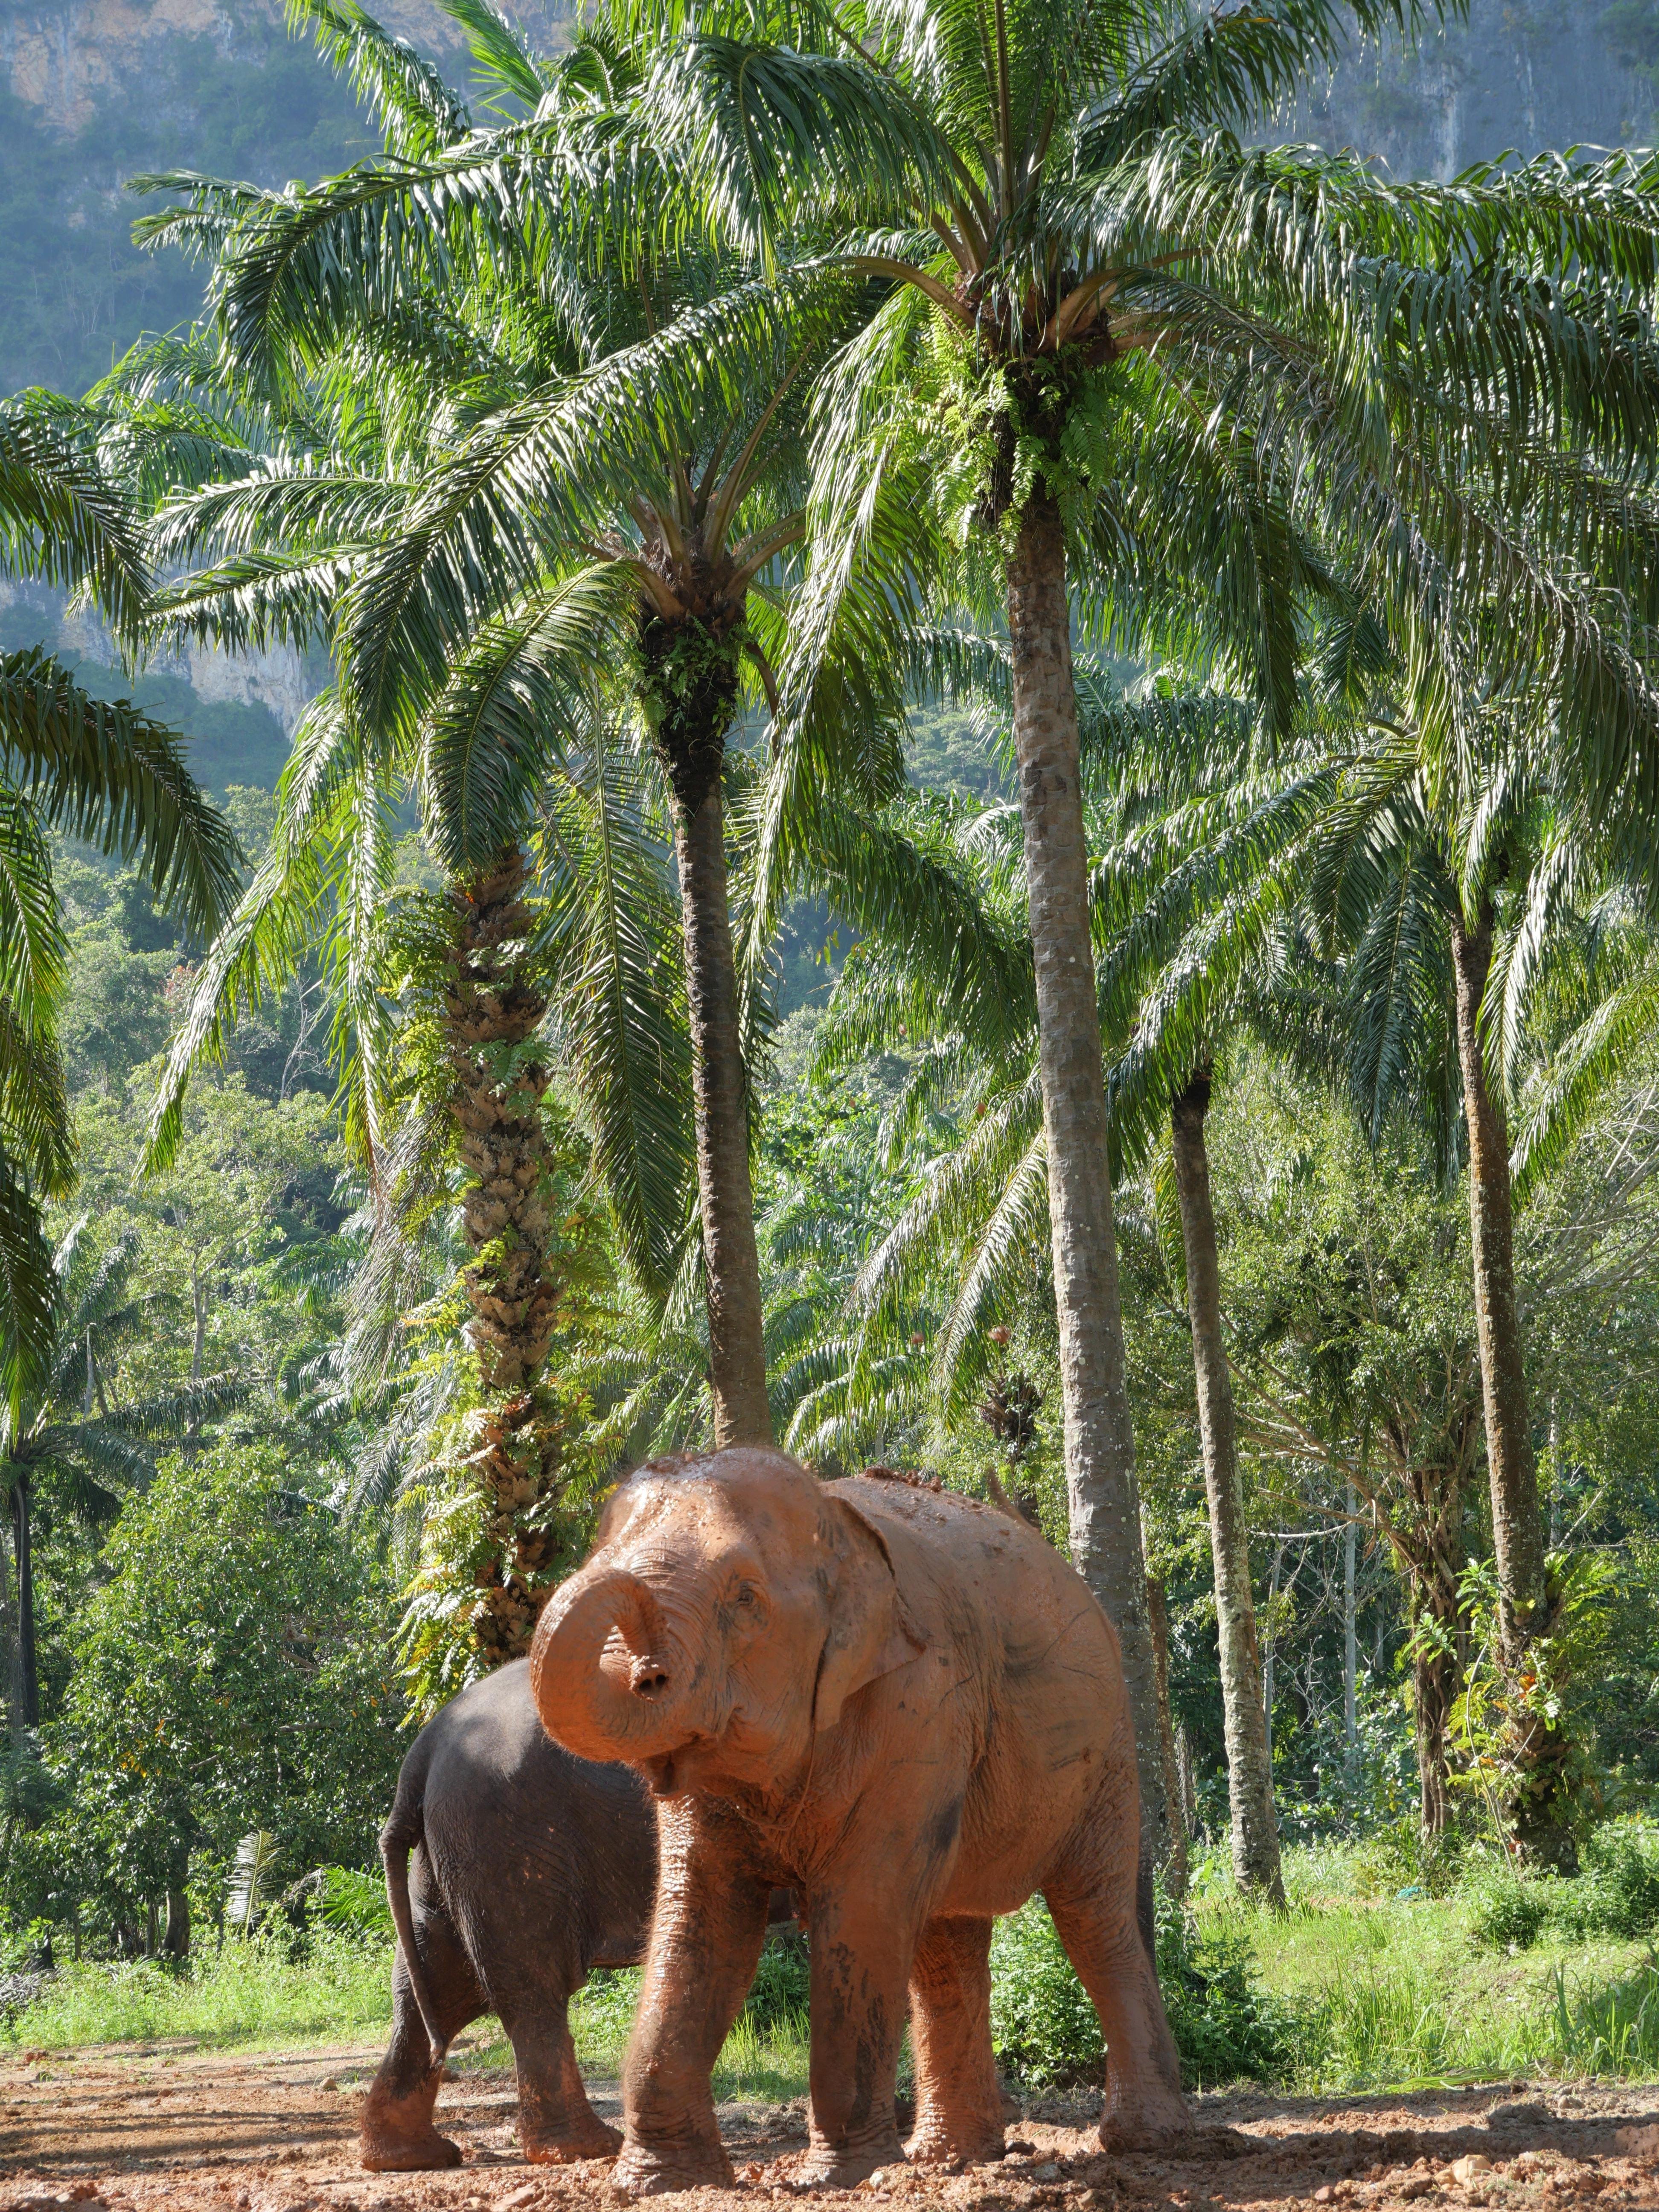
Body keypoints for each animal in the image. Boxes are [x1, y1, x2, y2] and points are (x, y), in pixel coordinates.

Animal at [529, 1447, 1190, 2198]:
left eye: (745, 1600)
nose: (646, 1671)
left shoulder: (920, 1704)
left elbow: (863, 1905)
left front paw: (843, 2178)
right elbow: (701, 1916)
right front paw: (660, 2184)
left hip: (1108, 1746)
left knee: (1092, 1914)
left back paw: (1144, 2141)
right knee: (946, 1943)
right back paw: (950, 2157)